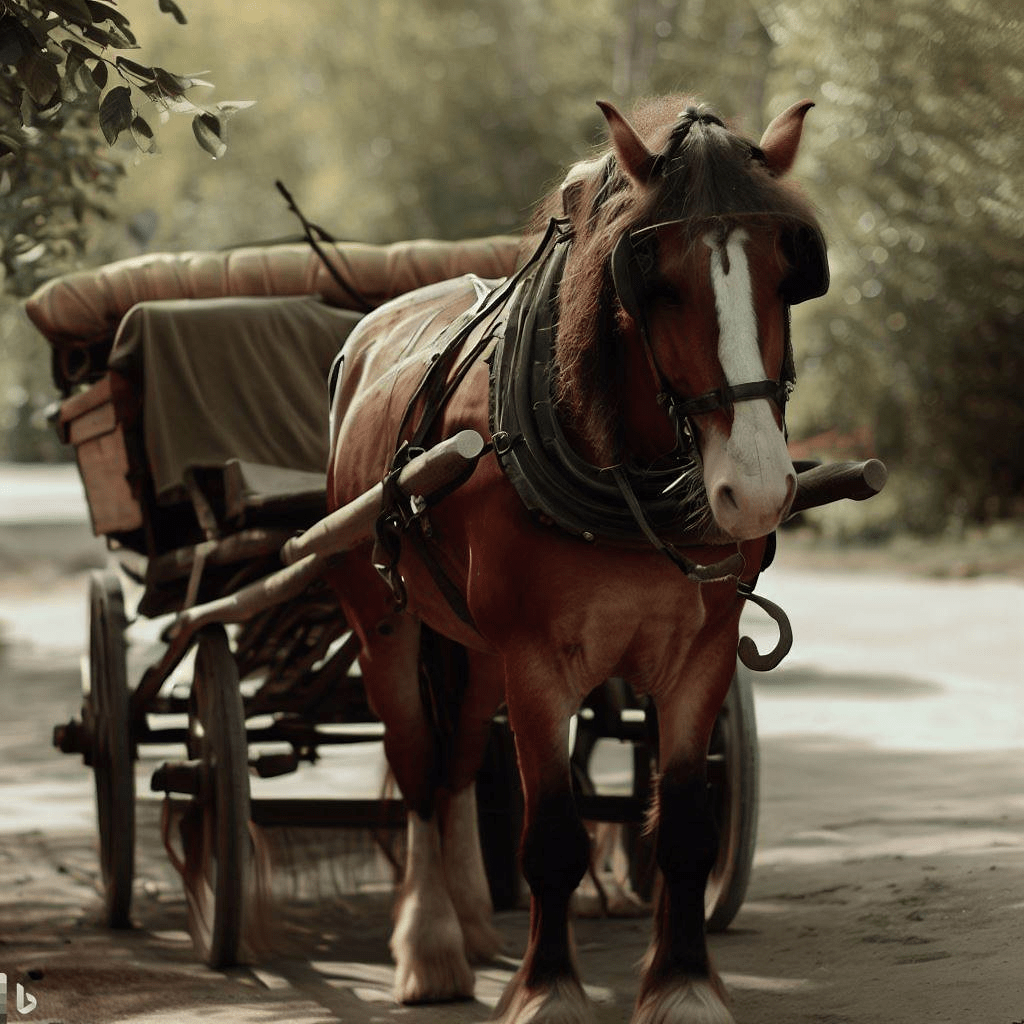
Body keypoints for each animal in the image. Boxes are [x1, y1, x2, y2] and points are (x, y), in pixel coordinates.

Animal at [324, 93, 829, 1024]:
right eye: (656, 281)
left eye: (789, 272)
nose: (756, 488)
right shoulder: (536, 661)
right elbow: (550, 834)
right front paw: (548, 991)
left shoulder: (702, 653)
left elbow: (685, 829)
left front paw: (684, 986)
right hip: (384, 624)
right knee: (419, 768)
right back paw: (433, 945)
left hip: (477, 653)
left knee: (456, 768)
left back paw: (474, 922)